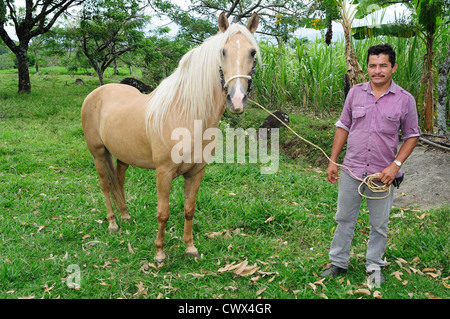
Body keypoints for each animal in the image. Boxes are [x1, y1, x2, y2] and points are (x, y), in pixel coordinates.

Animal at [81, 11, 260, 264]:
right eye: (223, 51)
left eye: (252, 52)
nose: (237, 100)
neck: (186, 115)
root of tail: (96, 93)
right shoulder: (163, 172)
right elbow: (163, 213)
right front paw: (159, 253)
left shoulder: (196, 172)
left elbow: (189, 209)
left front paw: (190, 247)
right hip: (98, 153)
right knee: (106, 185)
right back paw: (113, 224)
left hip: (123, 155)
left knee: (119, 180)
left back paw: (125, 216)